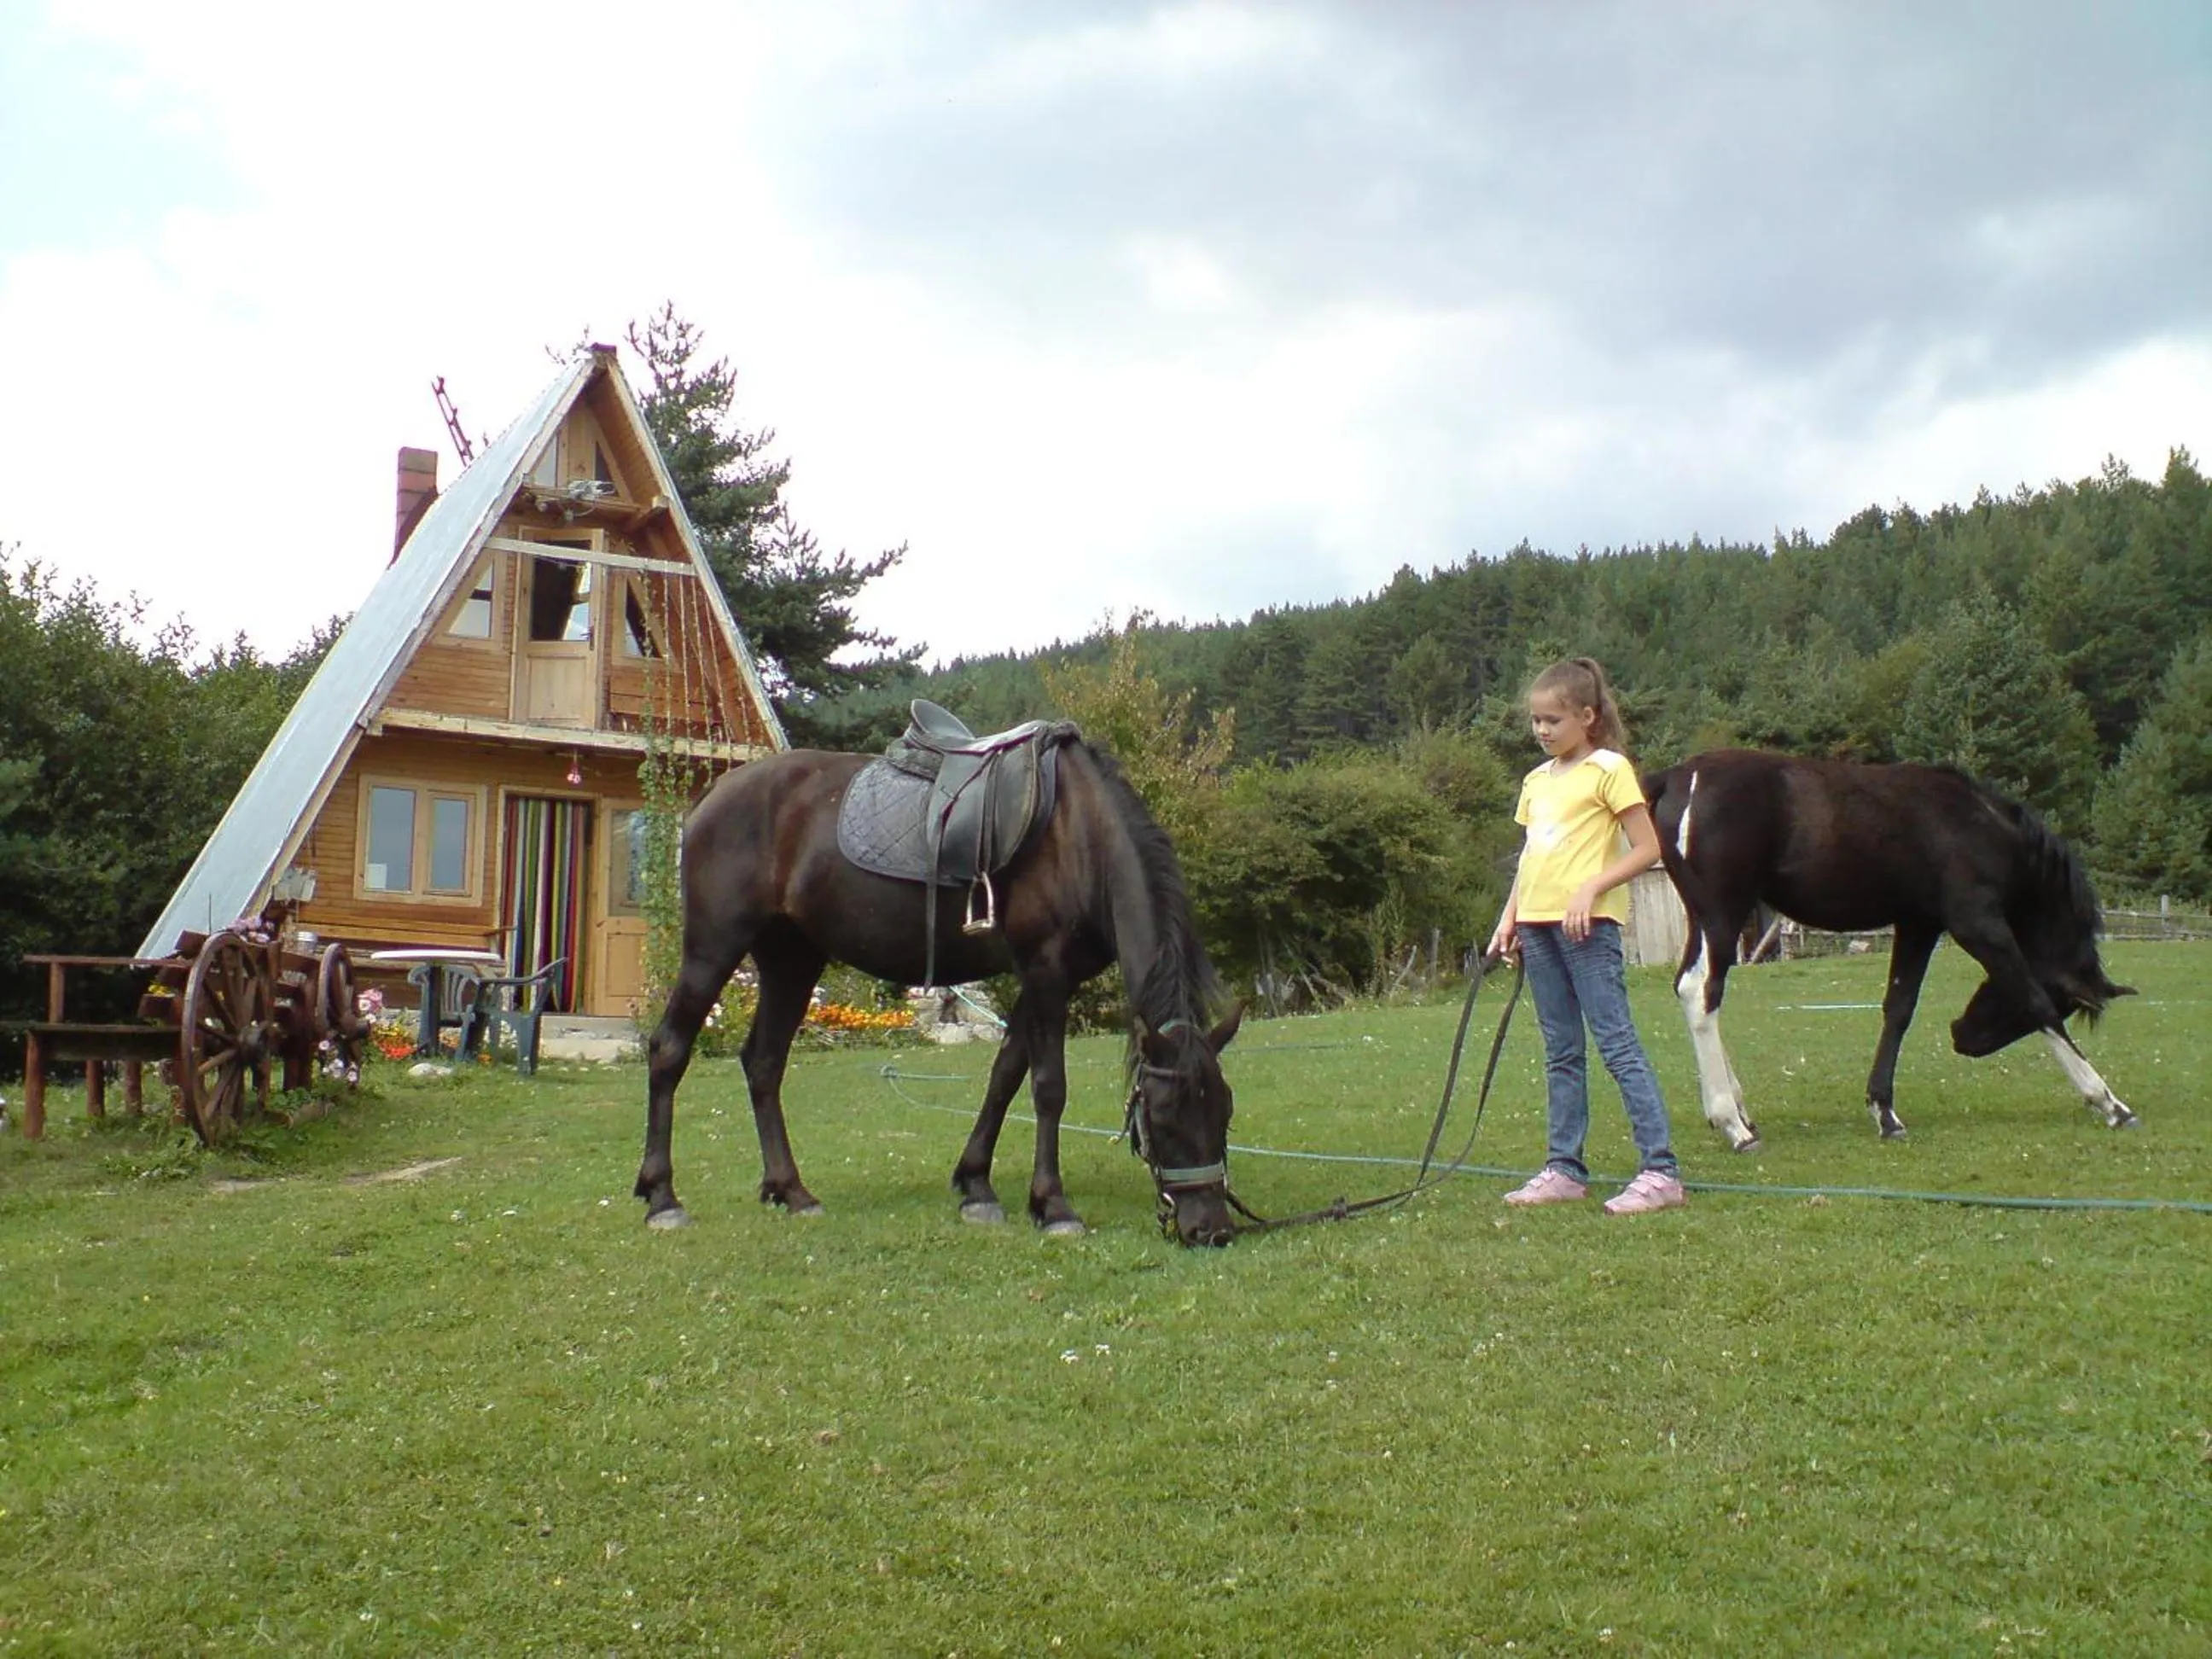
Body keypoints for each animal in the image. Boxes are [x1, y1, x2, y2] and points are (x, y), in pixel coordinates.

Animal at [633, 735, 1243, 1246]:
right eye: (1163, 1117)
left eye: (1224, 1114)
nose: (1211, 1229)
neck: (1080, 834)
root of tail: (715, 794)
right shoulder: (1045, 970)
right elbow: (1049, 1087)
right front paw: (1053, 1205)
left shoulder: (1044, 979)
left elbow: (1004, 1076)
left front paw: (976, 1186)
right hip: (713, 948)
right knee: (669, 1050)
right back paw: (663, 1197)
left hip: (791, 961)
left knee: (763, 1063)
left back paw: (790, 1190)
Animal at [1640, 749, 2135, 1148]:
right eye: (2065, 1001)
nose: (1962, 1036)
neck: (1979, 824)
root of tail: (1679, 776)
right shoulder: (1978, 925)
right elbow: (2031, 997)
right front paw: (2108, 1102)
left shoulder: (1918, 925)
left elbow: (1899, 1007)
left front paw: (1885, 1113)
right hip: (1722, 915)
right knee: (1702, 991)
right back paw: (1732, 1124)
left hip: (1705, 918)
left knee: (1692, 989)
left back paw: (1740, 1113)